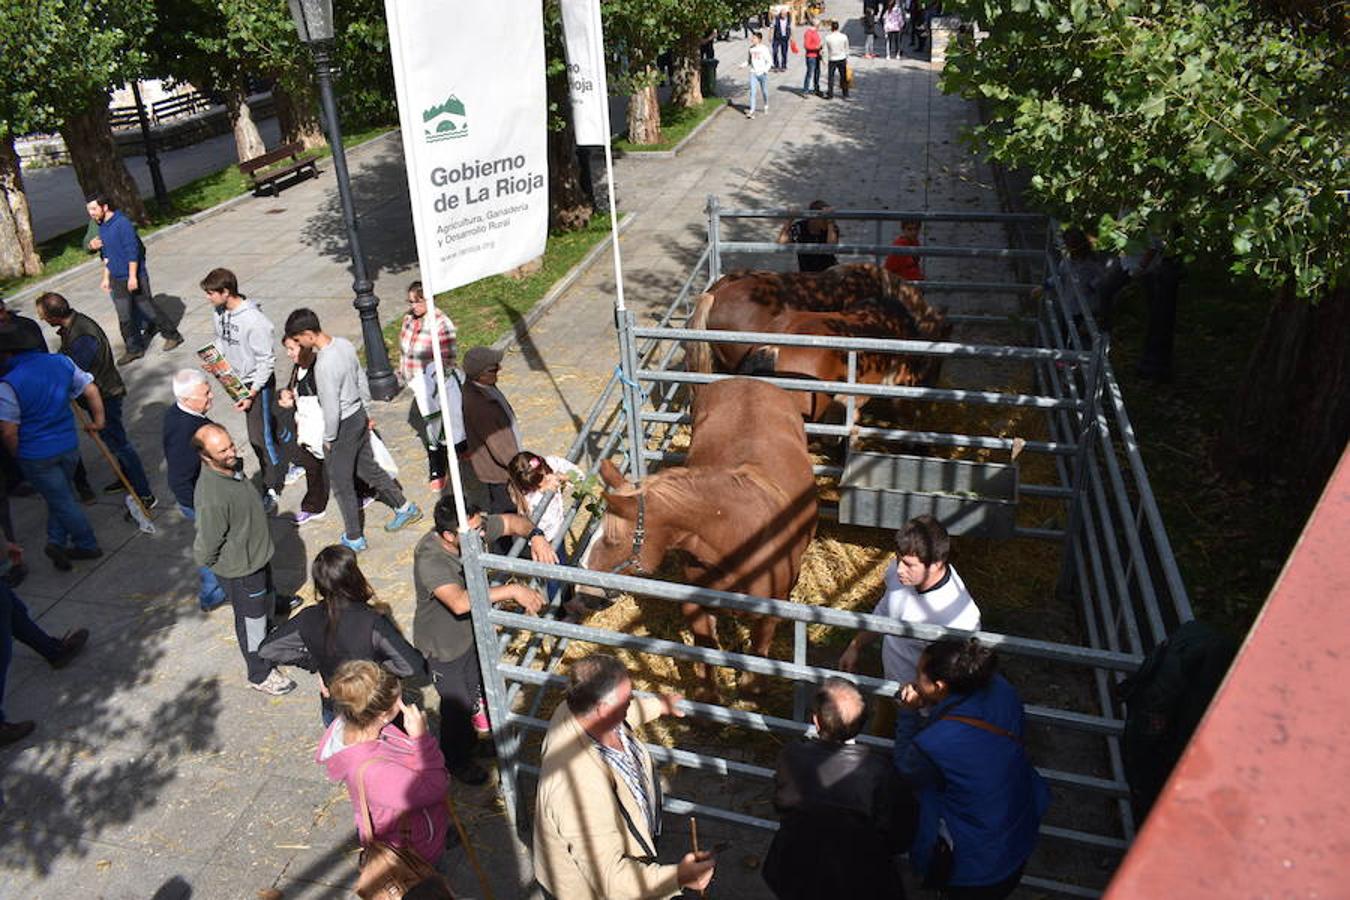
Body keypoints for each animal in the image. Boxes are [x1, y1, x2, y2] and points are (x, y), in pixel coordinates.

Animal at [577, 377, 815, 701]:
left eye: (612, 540)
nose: (582, 594)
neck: (739, 542)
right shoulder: (695, 606)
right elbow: (706, 650)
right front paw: (707, 696)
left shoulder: (768, 614)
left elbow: (758, 653)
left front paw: (751, 690)